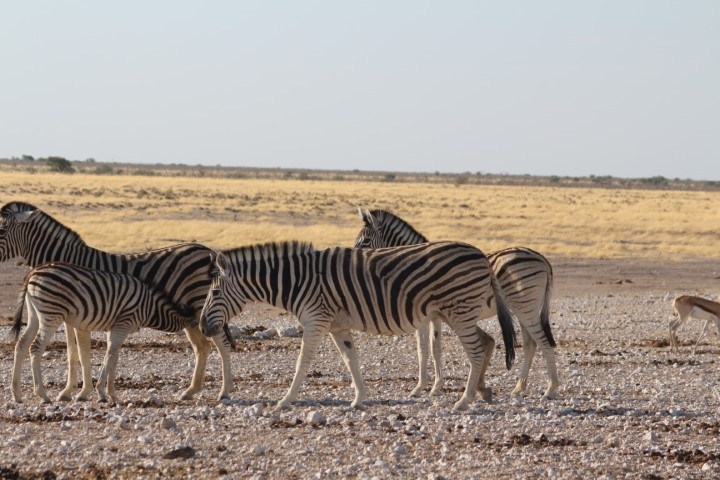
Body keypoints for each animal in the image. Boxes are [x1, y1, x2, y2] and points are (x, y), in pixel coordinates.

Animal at [9, 260, 200, 404]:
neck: (149, 307)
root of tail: (33, 272)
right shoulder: (124, 323)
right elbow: (110, 355)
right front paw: (101, 393)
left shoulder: (115, 327)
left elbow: (114, 357)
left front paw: (112, 394)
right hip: (51, 314)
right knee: (35, 348)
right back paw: (43, 395)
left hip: (34, 314)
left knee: (21, 345)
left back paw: (17, 394)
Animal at [200, 238, 516, 410]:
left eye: (214, 293)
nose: (203, 327)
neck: (297, 280)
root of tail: (480, 254)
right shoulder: (337, 325)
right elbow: (350, 359)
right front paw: (360, 398)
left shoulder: (316, 319)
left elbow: (302, 362)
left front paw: (285, 400)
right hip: (459, 312)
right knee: (488, 341)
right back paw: (482, 392)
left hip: (459, 310)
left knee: (476, 350)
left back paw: (464, 401)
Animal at [358, 208, 560, 400]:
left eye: (365, 240)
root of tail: (542, 258)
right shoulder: (434, 316)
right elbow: (434, 348)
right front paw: (434, 386)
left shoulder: (424, 315)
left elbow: (425, 349)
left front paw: (421, 388)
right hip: (524, 309)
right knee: (530, 345)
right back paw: (519, 388)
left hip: (526, 307)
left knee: (543, 342)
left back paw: (550, 390)